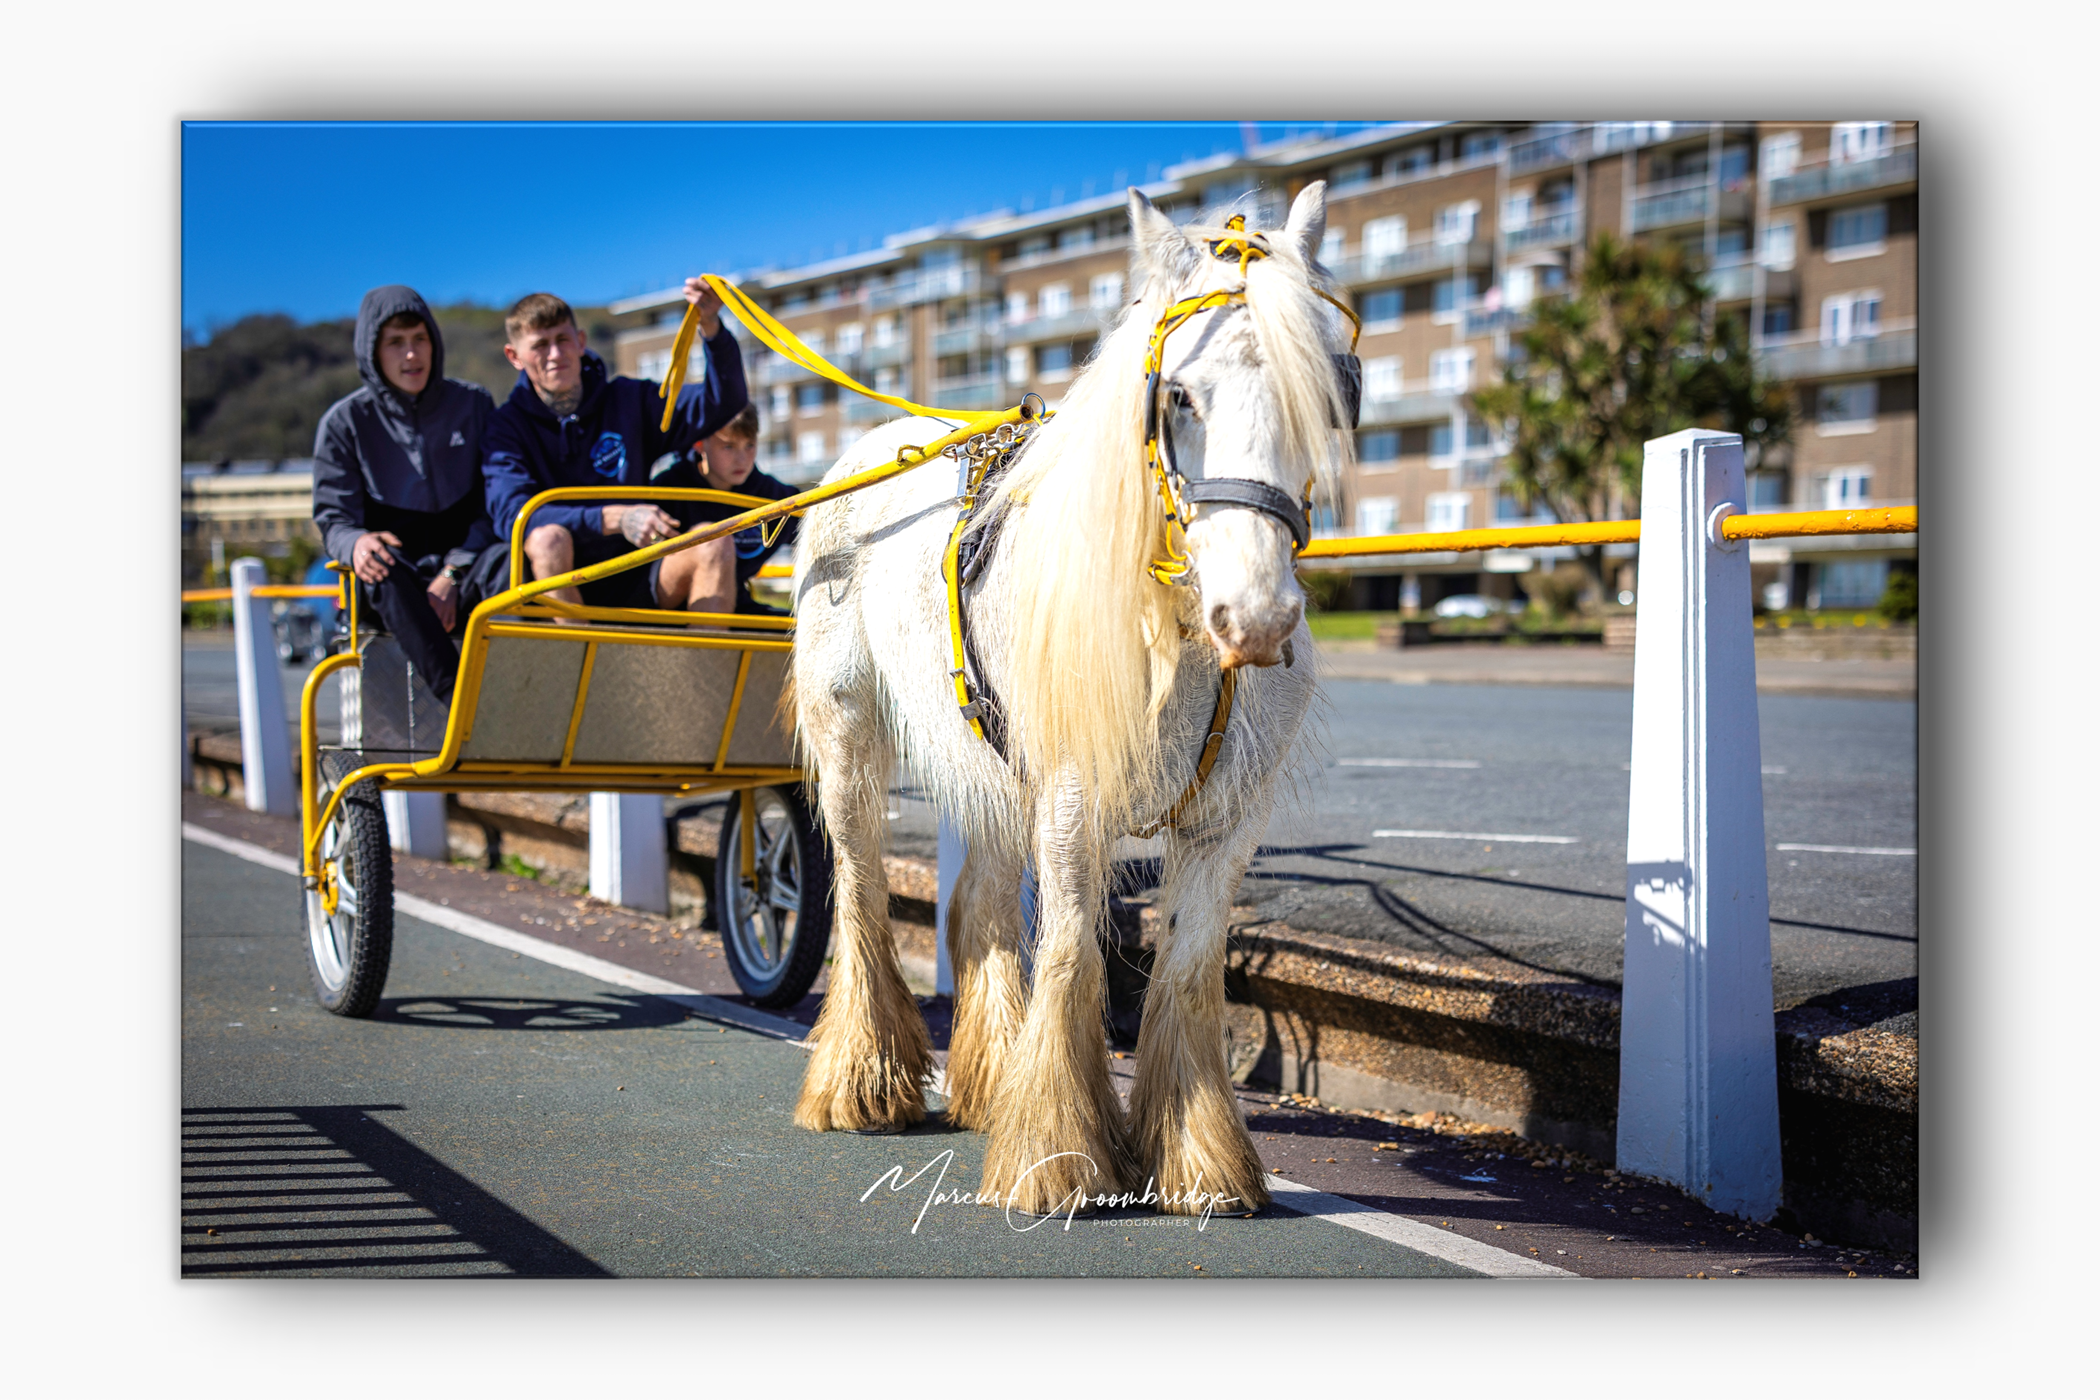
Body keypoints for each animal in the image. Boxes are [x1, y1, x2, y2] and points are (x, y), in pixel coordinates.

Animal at [786, 181, 1353, 1219]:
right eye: (1178, 395)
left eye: (1330, 391)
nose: (1257, 616)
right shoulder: (1073, 800)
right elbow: (1071, 956)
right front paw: (1054, 1154)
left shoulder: (1226, 821)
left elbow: (1187, 968)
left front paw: (1198, 1160)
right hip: (848, 738)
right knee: (860, 889)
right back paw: (863, 1081)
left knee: (976, 909)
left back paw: (986, 1080)